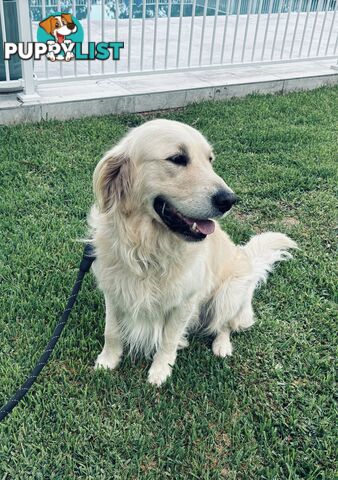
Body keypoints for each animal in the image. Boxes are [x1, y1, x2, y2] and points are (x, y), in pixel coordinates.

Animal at [88, 120, 298, 386]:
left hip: (229, 293)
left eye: (210, 160)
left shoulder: (185, 301)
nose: (230, 200)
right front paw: (107, 361)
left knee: (224, 325)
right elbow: (112, 331)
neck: (147, 247)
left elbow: (168, 339)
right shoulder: (114, 290)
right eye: (177, 158)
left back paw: (222, 346)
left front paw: (160, 371)